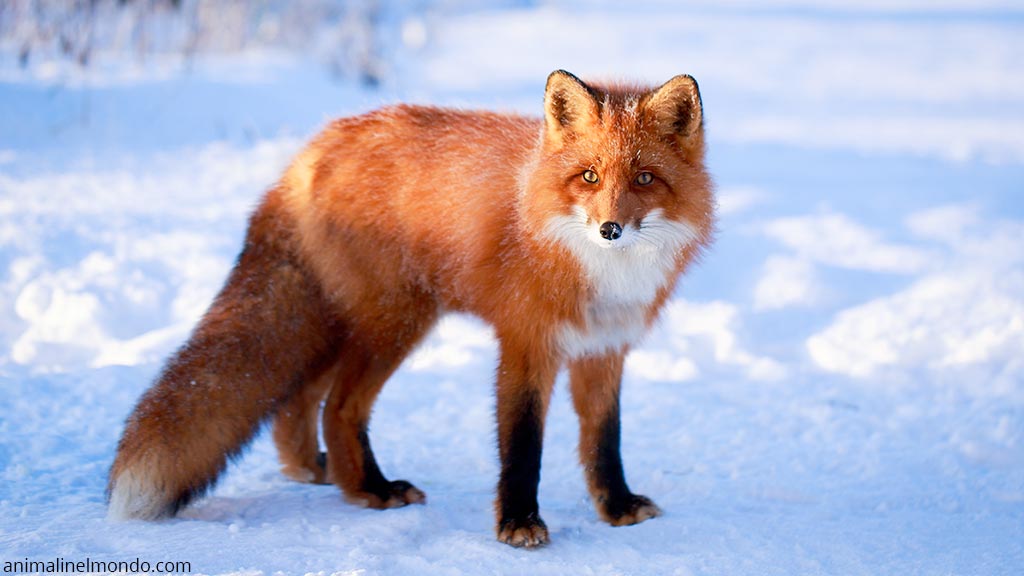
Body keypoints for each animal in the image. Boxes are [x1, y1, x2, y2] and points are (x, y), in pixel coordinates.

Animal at [107, 69, 715, 547]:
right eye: (589, 176)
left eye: (644, 178)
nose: (610, 229)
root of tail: (315, 148)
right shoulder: (526, 344)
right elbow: (522, 445)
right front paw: (518, 523)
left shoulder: (604, 348)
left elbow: (604, 441)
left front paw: (617, 507)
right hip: (392, 323)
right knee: (337, 407)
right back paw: (371, 489)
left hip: (342, 324)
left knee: (297, 399)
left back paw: (317, 472)